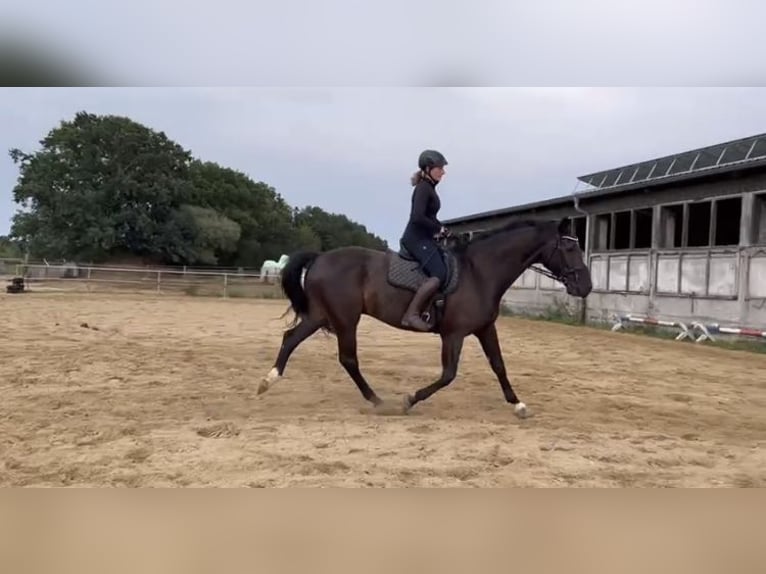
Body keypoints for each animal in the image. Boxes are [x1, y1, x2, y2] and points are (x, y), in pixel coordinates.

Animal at [258, 216, 592, 418]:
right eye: (568, 248)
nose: (586, 287)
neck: (480, 272)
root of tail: (321, 257)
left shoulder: (485, 328)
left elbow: (499, 365)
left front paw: (519, 404)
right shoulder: (453, 334)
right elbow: (448, 375)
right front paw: (410, 400)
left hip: (320, 315)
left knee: (291, 339)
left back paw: (267, 381)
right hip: (345, 319)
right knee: (348, 358)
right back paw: (378, 401)